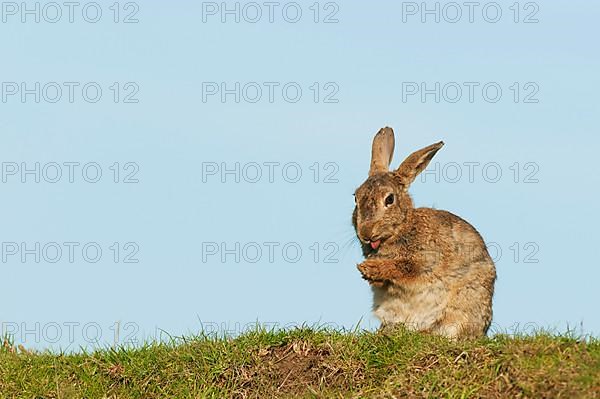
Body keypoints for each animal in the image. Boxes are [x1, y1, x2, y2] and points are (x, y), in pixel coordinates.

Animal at [354, 126, 494, 340]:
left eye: (389, 199)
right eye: (355, 197)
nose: (366, 233)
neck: (402, 227)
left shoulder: (425, 261)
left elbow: (404, 268)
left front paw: (369, 268)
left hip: (463, 304)